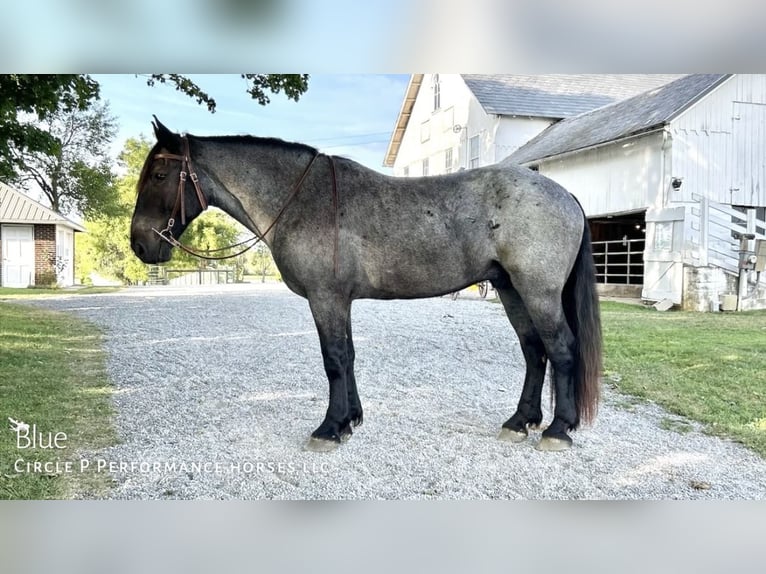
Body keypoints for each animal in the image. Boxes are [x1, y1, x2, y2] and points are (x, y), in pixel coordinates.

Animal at [129, 118, 604, 454]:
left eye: (158, 176)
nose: (140, 244)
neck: (302, 201)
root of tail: (564, 194)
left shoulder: (326, 298)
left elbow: (335, 360)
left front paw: (329, 428)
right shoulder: (340, 301)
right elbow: (349, 357)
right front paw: (350, 420)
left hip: (537, 292)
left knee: (561, 349)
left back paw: (558, 430)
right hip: (510, 290)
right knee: (533, 351)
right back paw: (520, 422)